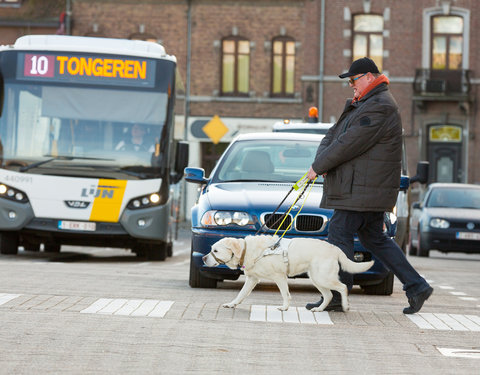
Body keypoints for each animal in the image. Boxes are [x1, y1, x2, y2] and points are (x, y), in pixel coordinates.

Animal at [203, 236, 376, 312]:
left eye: (215, 251)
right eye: (211, 249)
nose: (204, 258)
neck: (248, 250)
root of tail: (335, 248)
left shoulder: (279, 277)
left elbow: (285, 294)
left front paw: (285, 308)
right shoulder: (252, 279)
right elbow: (240, 294)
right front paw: (231, 304)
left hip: (323, 278)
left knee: (343, 287)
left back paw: (345, 306)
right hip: (317, 279)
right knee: (329, 295)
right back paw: (319, 309)